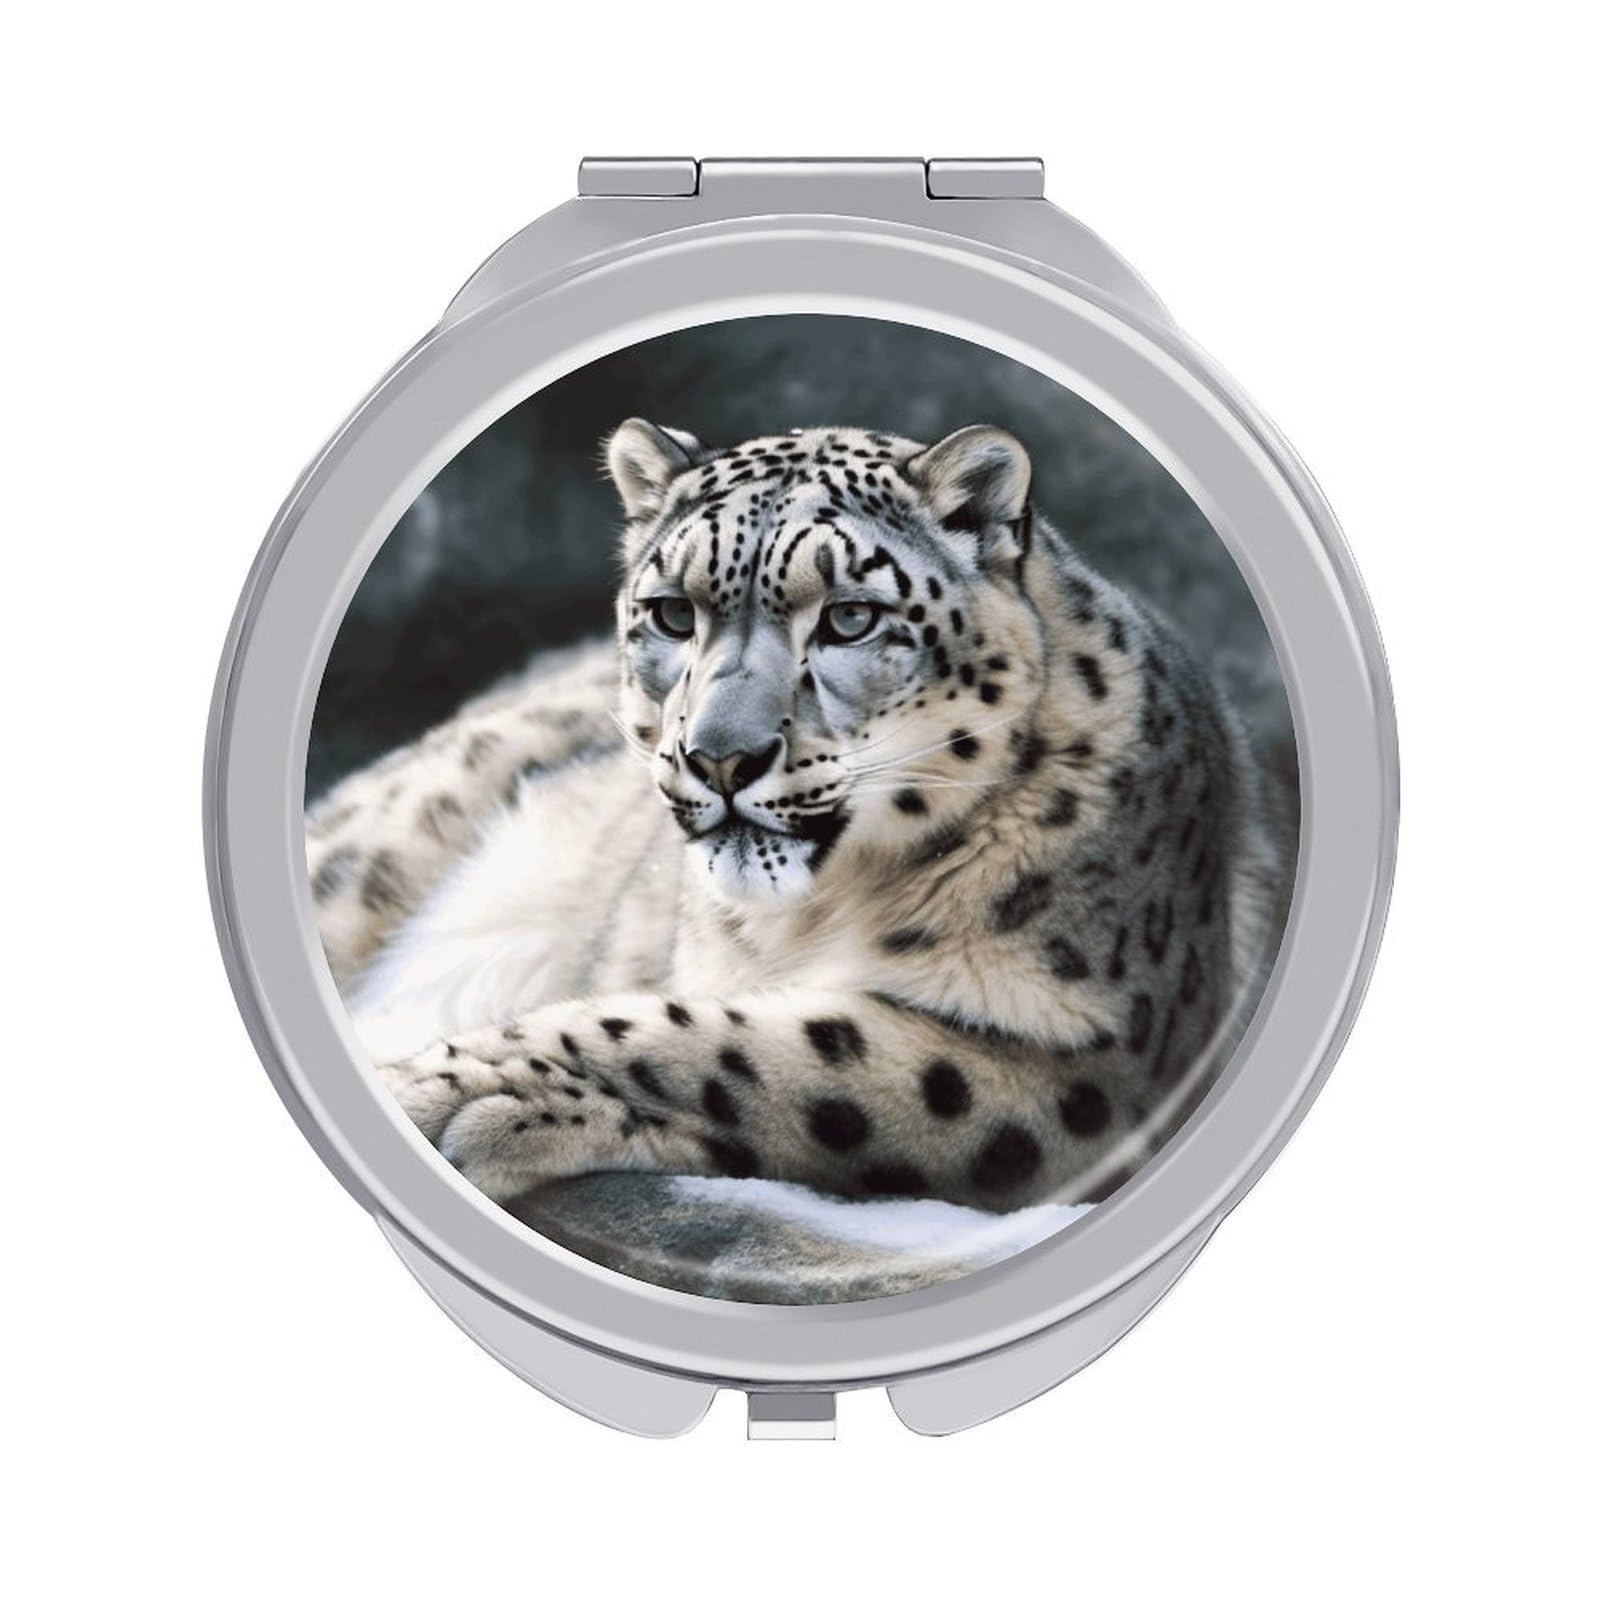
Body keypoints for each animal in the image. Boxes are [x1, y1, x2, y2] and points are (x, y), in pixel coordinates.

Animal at [307, 420, 1291, 1222]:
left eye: (851, 617)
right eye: (673, 612)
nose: (720, 757)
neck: (816, 915)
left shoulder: (1095, 1066)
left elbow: (749, 1048)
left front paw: (441, 1092)